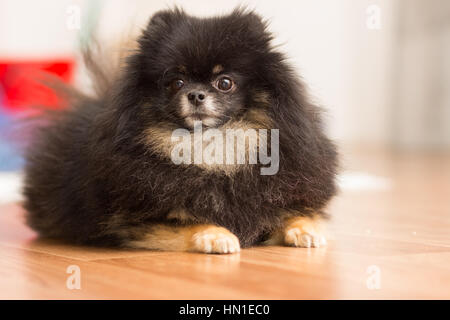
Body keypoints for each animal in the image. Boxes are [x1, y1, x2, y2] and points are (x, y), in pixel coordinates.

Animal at [22, 7, 338, 254]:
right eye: (176, 82)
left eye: (225, 82)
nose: (196, 94)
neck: (212, 146)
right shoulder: (135, 221)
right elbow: (189, 221)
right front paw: (216, 234)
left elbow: (295, 214)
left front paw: (306, 229)